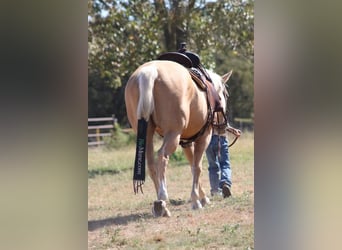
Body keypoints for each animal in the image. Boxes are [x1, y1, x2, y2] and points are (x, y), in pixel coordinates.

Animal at [124, 60, 231, 217]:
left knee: (151, 164)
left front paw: (203, 198)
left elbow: (193, 166)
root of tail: (150, 71)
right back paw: (162, 197)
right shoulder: (203, 137)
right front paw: (196, 201)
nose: (223, 128)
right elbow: (197, 167)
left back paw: (160, 205)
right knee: (162, 156)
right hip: (173, 135)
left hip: (147, 134)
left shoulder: (186, 143)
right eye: (225, 94)